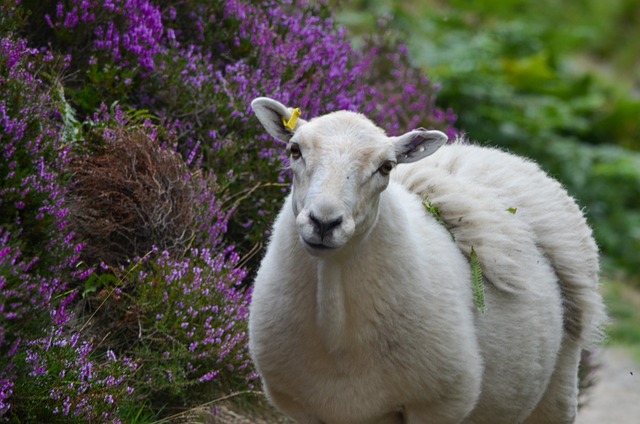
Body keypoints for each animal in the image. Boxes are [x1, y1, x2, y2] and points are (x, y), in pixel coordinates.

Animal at [248, 97, 608, 424]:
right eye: (294, 150)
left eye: (386, 167)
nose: (324, 222)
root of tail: (499, 158)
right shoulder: (306, 407)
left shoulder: (437, 405)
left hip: (557, 389)